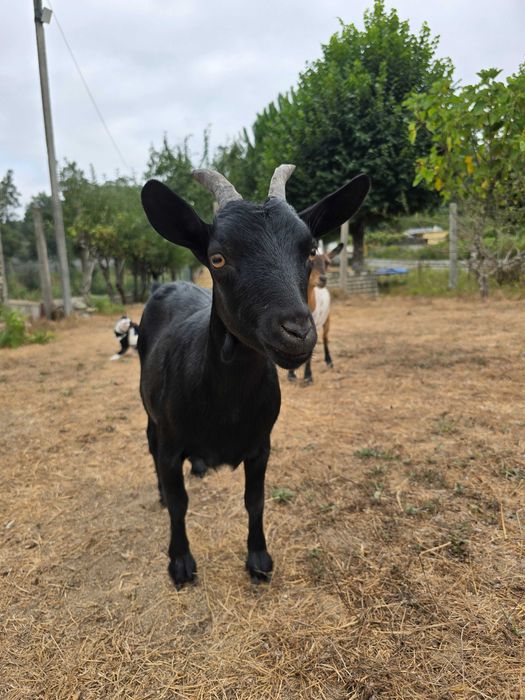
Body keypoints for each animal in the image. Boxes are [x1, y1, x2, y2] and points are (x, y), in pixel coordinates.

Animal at [287, 243, 343, 384]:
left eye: (327, 263)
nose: (323, 279)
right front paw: (291, 374)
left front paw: (308, 376)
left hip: (327, 319)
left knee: (325, 338)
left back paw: (329, 361)